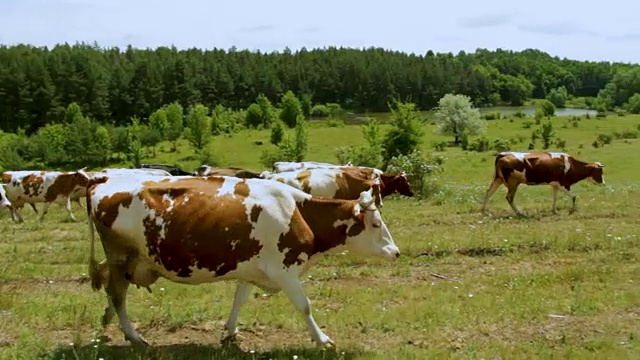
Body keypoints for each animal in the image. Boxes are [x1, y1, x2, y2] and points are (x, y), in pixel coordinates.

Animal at [82, 173, 398, 348]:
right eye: (375, 224)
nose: (395, 252)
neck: (296, 212)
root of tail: (102, 180)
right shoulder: (284, 271)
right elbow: (304, 306)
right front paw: (322, 340)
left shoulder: (252, 269)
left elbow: (240, 299)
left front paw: (230, 332)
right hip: (122, 259)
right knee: (118, 295)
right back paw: (134, 337)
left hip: (125, 262)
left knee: (110, 289)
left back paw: (110, 322)